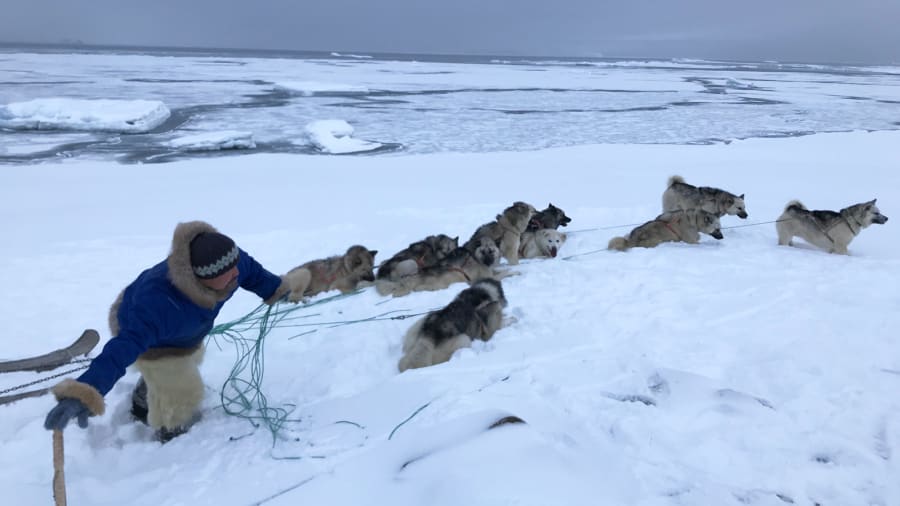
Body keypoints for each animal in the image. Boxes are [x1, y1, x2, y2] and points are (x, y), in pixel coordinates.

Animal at [376, 240, 516, 298]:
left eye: (491, 251)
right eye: (483, 252)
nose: (488, 261)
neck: (475, 258)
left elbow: (500, 270)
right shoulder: (486, 277)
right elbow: (504, 273)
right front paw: (515, 271)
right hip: (412, 266)